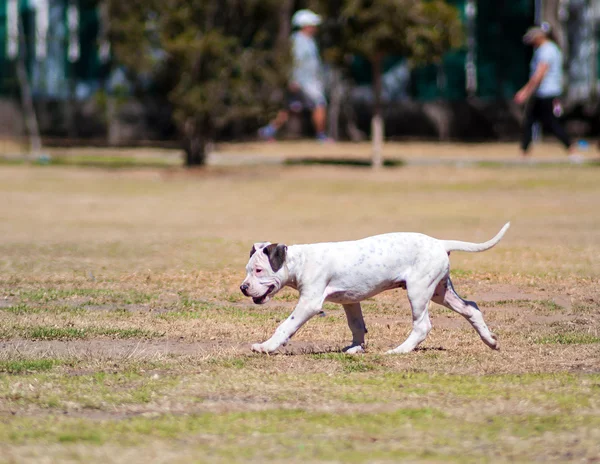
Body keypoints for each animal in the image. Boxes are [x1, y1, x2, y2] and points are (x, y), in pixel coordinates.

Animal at [241, 223, 508, 354]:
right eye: (247, 269)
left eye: (259, 270)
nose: (243, 288)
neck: (301, 261)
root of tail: (440, 243)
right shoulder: (350, 301)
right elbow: (357, 325)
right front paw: (356, 348)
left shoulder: (309, 303)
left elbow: (285, 326)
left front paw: (265, 346)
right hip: (441, 291)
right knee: (471, 308)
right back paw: (491, 342)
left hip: (419, 291)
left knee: (422, 325)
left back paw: (400, 350)